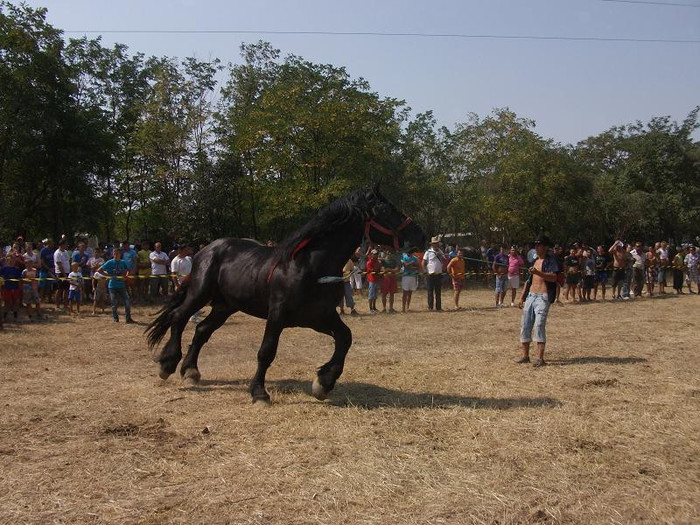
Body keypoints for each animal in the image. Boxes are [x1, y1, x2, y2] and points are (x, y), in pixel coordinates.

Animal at [146, 186, 426, 404]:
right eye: (386, 210)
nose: (420, 235)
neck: (310, 266)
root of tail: (207, 249)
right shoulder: (278, 315)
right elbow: (266, 351)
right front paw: (259, 393)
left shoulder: (319, 318)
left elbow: (345, 338)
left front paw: (323, 383)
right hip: (200, 294)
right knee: (180, 318)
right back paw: (168, 364)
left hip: (226, 305)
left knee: (202, 330)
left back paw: (190, 371)